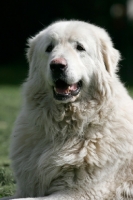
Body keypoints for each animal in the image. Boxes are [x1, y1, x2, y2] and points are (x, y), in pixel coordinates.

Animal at [2, 19, 133, 199]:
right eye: (49, 48)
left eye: (80, 47)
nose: (57, 65)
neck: (62, 129)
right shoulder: (25, 189)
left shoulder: (78, 192)